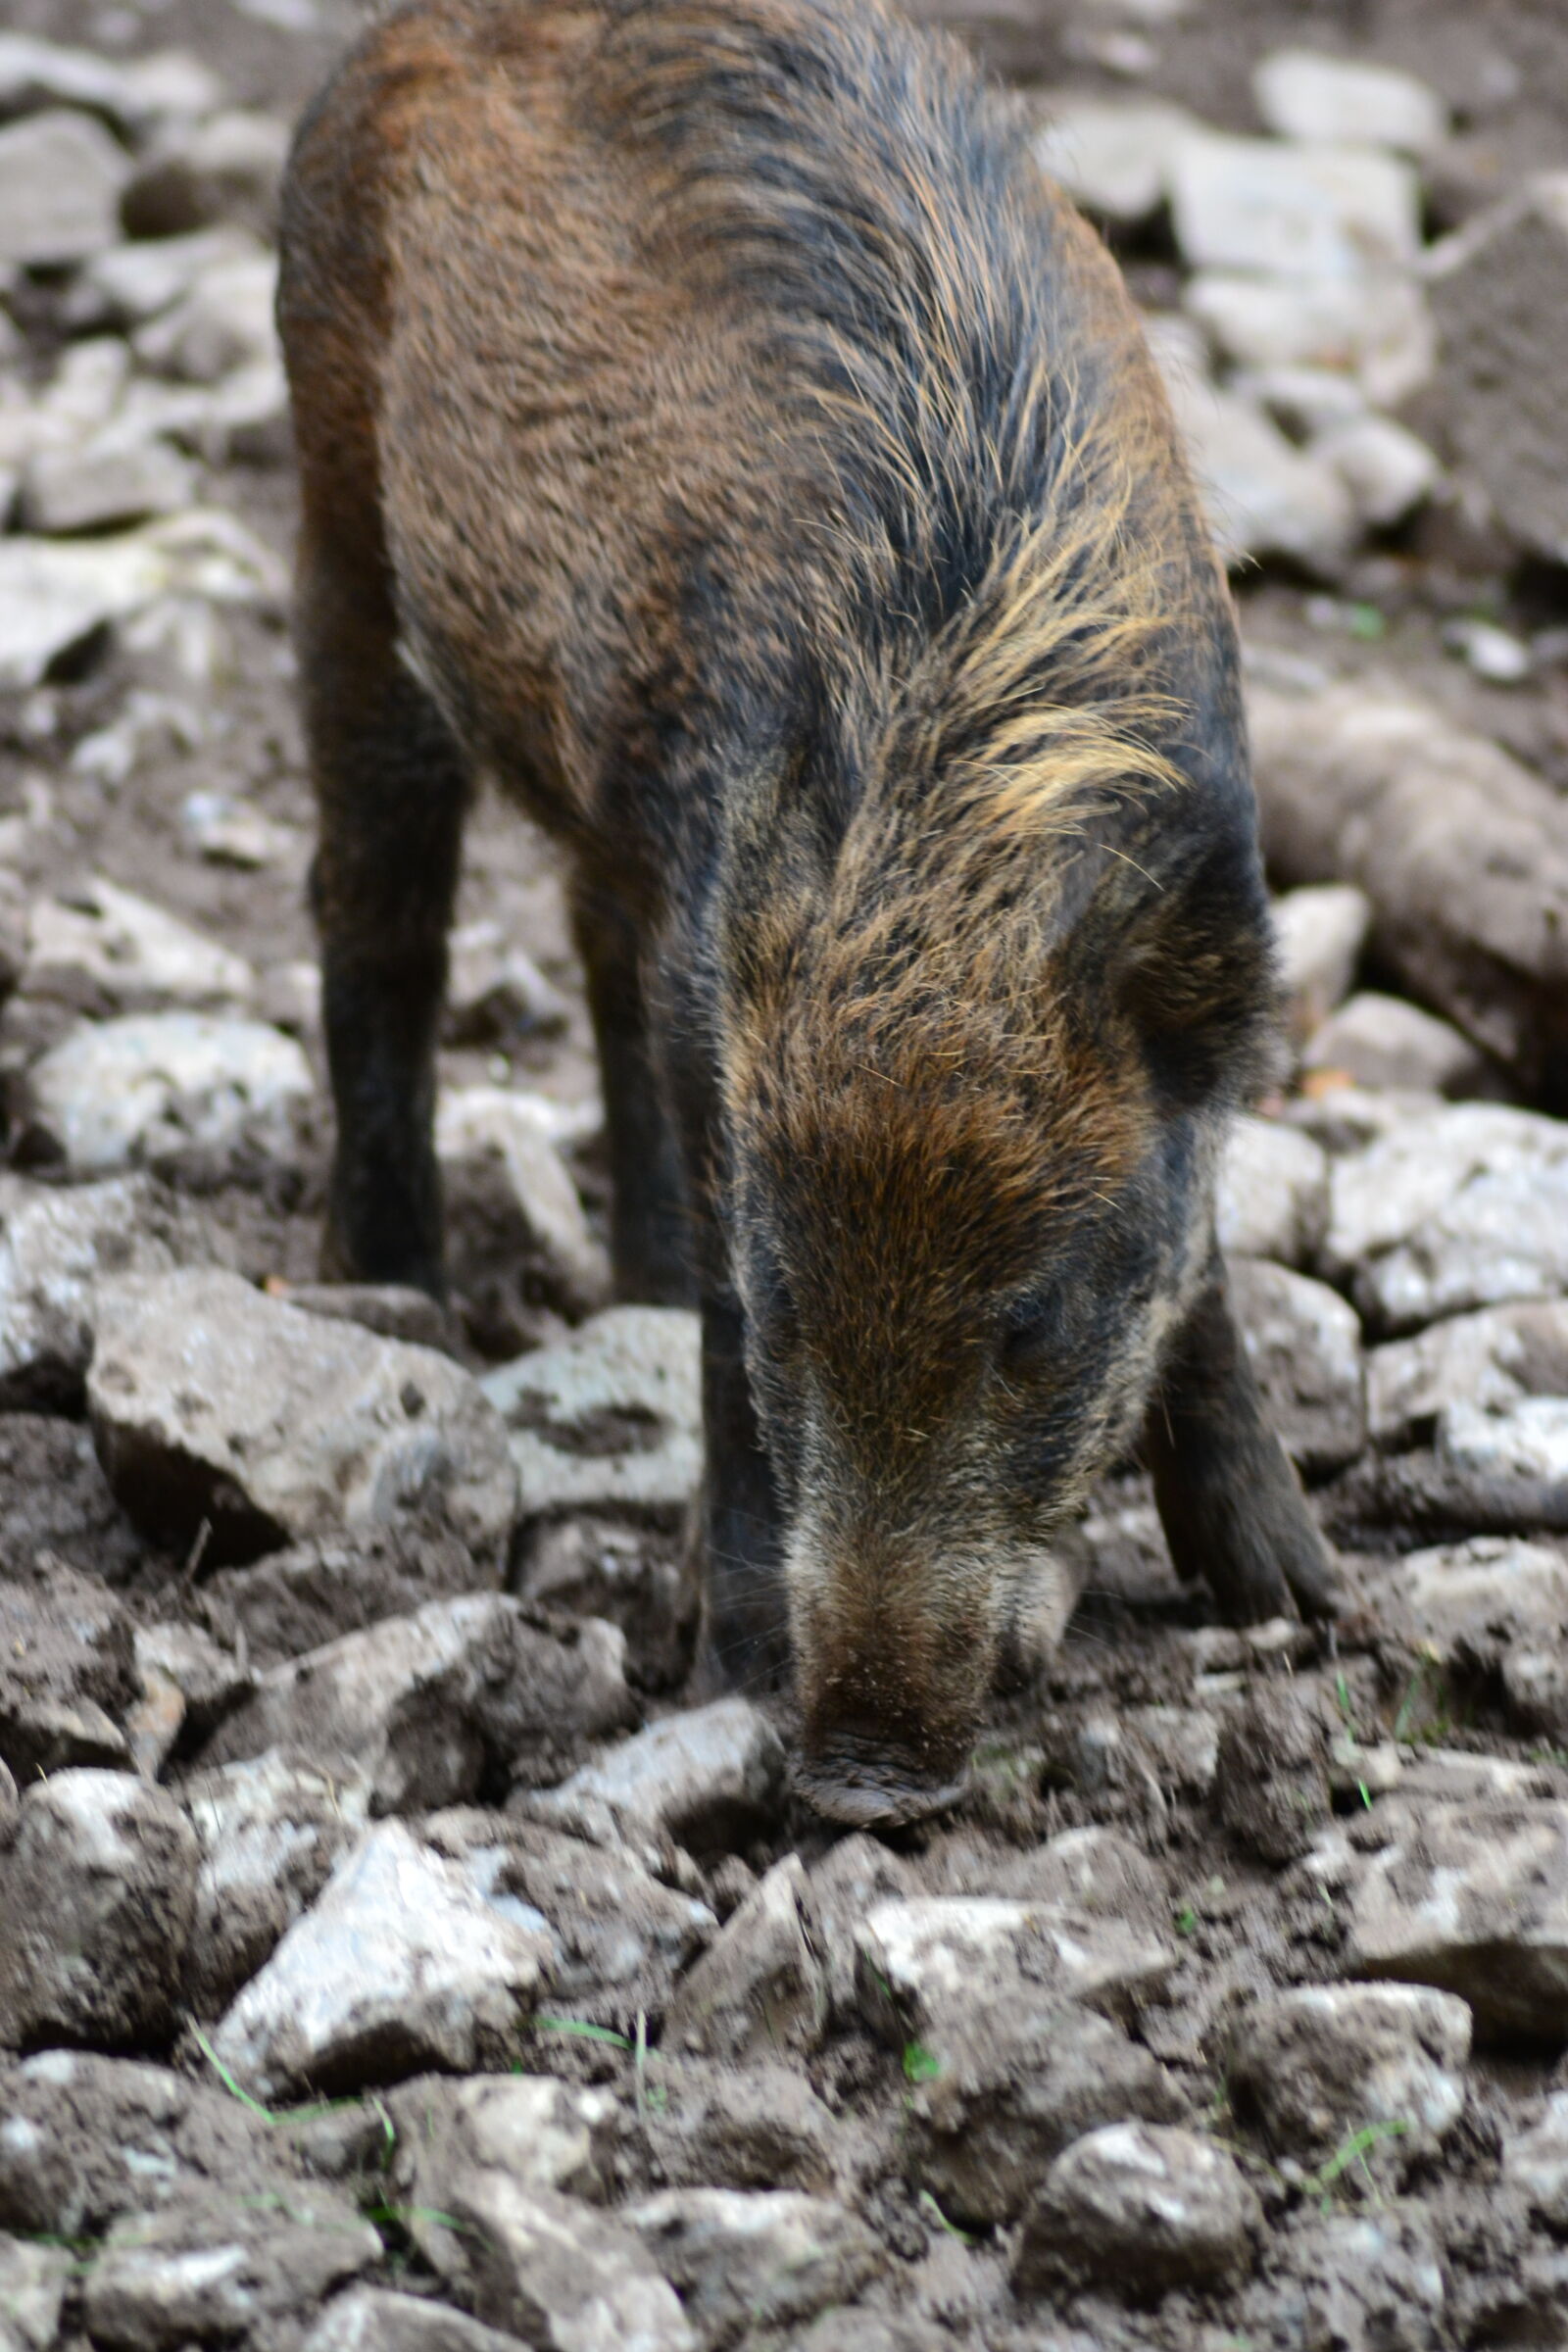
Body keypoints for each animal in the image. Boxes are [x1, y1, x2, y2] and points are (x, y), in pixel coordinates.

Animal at [279, 0, 1339, 1827]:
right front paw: (729, 1665)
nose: (856, 1778)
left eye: (1034, 1320)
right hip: (342, 529)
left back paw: (619, 1280)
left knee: (590, 953)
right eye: (790, 1303)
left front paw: (1303, 1598)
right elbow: (718, 1342)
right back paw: (395, 1297)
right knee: (378, 920)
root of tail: (390, 43)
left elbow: (1200, 1257)